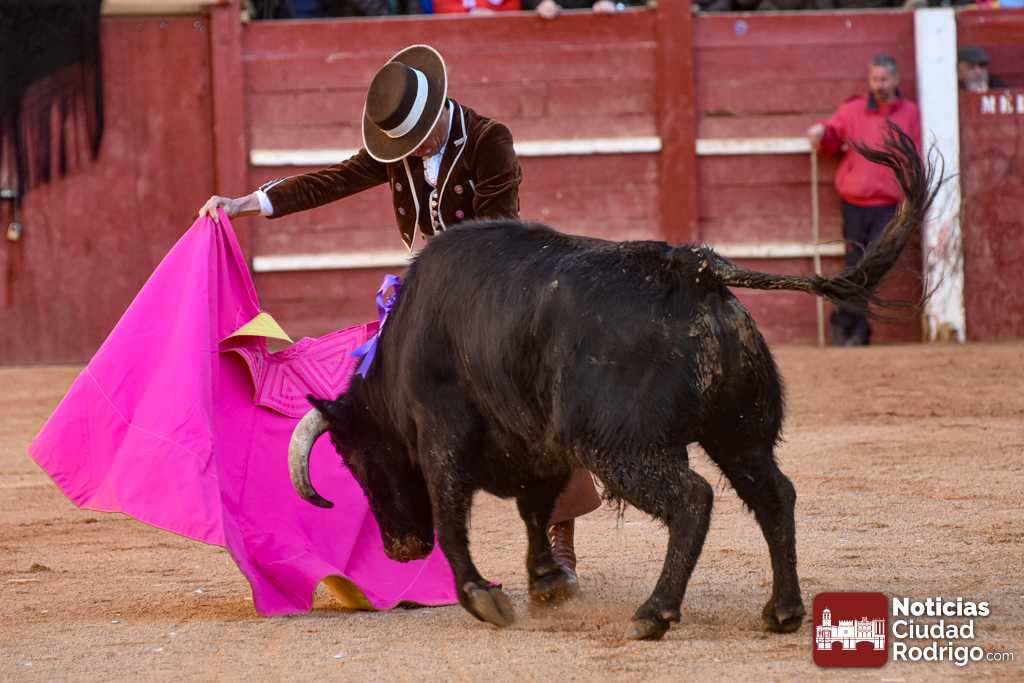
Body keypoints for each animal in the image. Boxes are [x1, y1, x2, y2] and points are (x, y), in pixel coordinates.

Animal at [288, 124, 937, 640]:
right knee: (775, 494)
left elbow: (454, 519)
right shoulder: (538, 445)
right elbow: (535, 509)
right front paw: (546, 583)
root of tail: (695, 270)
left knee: (693, 498)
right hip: (738, 433)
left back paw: (655, 612)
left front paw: (483, 597)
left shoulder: (444, 434)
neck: (406, 343)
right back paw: (782, 610)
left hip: (620, 444)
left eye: (357, 460)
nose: (401, 549)